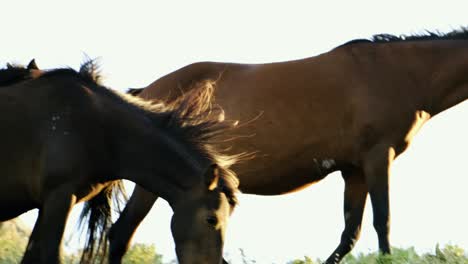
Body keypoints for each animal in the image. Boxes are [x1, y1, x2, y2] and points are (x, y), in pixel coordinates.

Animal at [107, 27, 468, 262]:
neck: (396, 73)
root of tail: (146, 92)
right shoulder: (378, 157)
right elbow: (383, 223)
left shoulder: (354, 170)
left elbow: (349, 234)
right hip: (151, 183)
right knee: (120, 233)